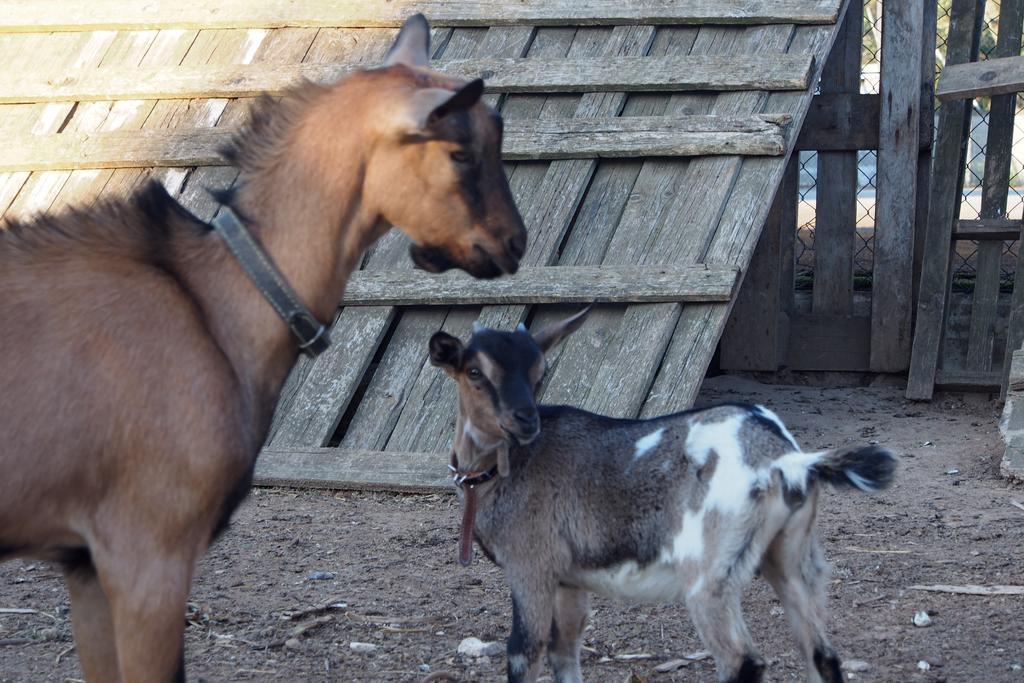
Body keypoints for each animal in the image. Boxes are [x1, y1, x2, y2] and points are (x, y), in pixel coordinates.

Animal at [430, 309, 897, 683]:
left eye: (539, 373)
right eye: (474, 372)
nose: (525, 420)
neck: (506, 468)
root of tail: (784, 458)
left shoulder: (531, 565)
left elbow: (523, 654)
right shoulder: (568, 578)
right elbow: (566, 653)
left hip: (710, 572)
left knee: (742, 660)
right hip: (792, 556)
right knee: (822, 654)